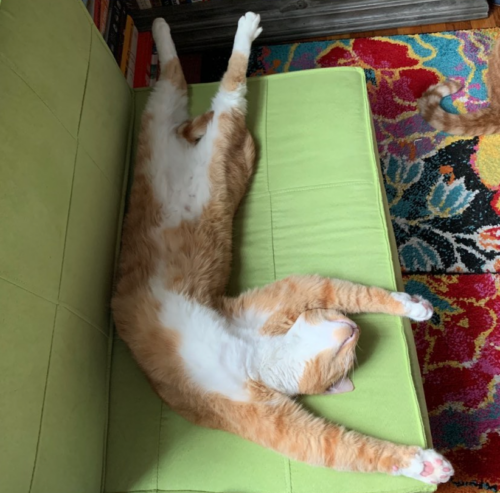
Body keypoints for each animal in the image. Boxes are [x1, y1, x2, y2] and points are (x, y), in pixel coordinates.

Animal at [112, 11, 454, 484]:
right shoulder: (268, 393)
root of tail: (187, 140)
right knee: (227, 86)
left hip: (165, 118)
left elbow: (354, 292)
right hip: (203, 129)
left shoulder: (278, 305)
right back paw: (238, 28)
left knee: (181, 85)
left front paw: (412, 307)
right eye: (349, 353)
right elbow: (343, 447)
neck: (255, 353)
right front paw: (423, 463)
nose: (353, 329)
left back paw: (163, 30)